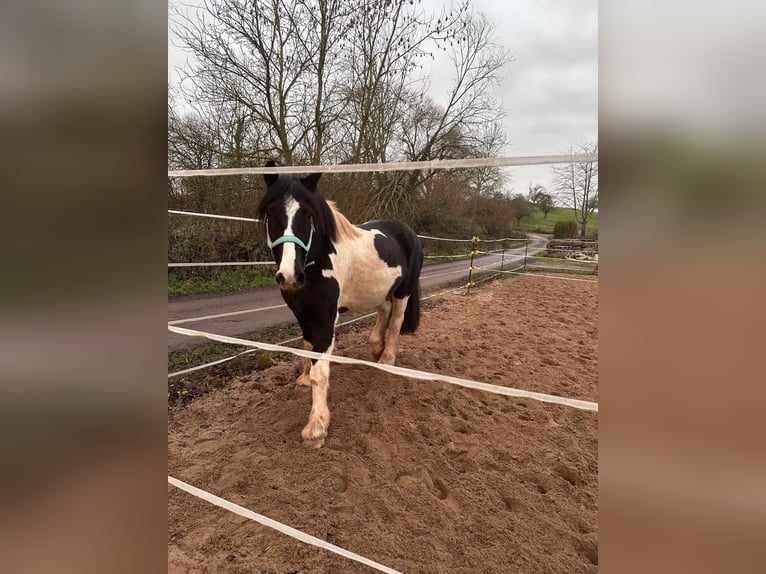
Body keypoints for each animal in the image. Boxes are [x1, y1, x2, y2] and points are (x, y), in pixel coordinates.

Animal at [256, 161, 423, 448]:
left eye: (309, 216)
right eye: (270, 213)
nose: (289, 276)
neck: (317, 262)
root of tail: (409, 232)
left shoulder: (325, 319)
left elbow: (320, 372)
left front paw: (316, 428)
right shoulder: (302, 315)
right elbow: (307, 348)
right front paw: (303, 378)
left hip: (403, 292)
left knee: (396, 321)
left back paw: (387, 359)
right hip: (380, 290)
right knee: (384, 312)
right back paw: (376, 349)